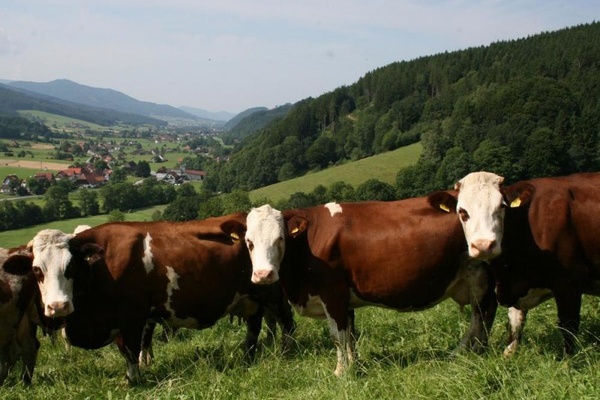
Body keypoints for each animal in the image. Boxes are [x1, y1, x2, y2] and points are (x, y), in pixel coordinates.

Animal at [25, 216, 296, 384]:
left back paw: (287, 351)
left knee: (287, 321)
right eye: (37, 270)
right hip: (250, 299)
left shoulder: (132, 318)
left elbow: (131, 351)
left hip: (271, 291)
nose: (57, 306)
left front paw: (133, 380)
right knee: (254, 327)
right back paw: (247, 356)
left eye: (70, 266)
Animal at [244, 202, 496, 376]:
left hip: (478, 274)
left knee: (481, 315)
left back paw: (466, 351)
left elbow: (338, 336)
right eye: (249, 242)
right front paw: (353, 365)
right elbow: (350, 335)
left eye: (280, 239)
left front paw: (340, 372)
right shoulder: (344, 300)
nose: (263, 275)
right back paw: (474, 350)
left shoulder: (332, 294)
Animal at [440, 170, 600, 354]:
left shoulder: (570, 280)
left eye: (502, 206)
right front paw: (509, 353)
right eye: (462, 211)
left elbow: (568, 326)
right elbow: (515, 323)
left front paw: (569, 359)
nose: (483, 246)